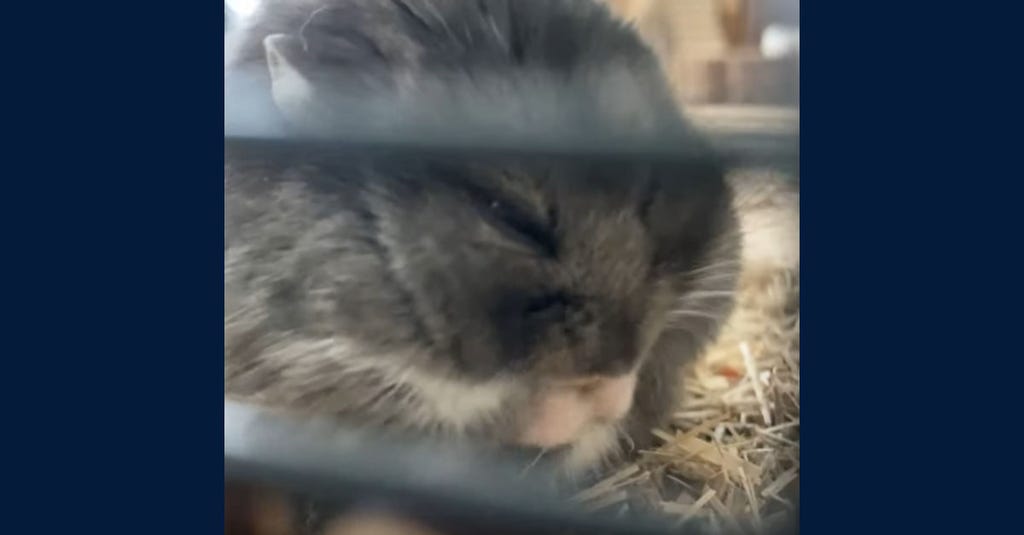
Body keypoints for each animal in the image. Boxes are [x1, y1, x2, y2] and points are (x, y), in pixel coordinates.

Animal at [225, 0, 740, 476]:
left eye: (652, 191)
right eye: (512, 217)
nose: (616, 363)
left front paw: (611, 399)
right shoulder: (328, 361)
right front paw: (570, 410)